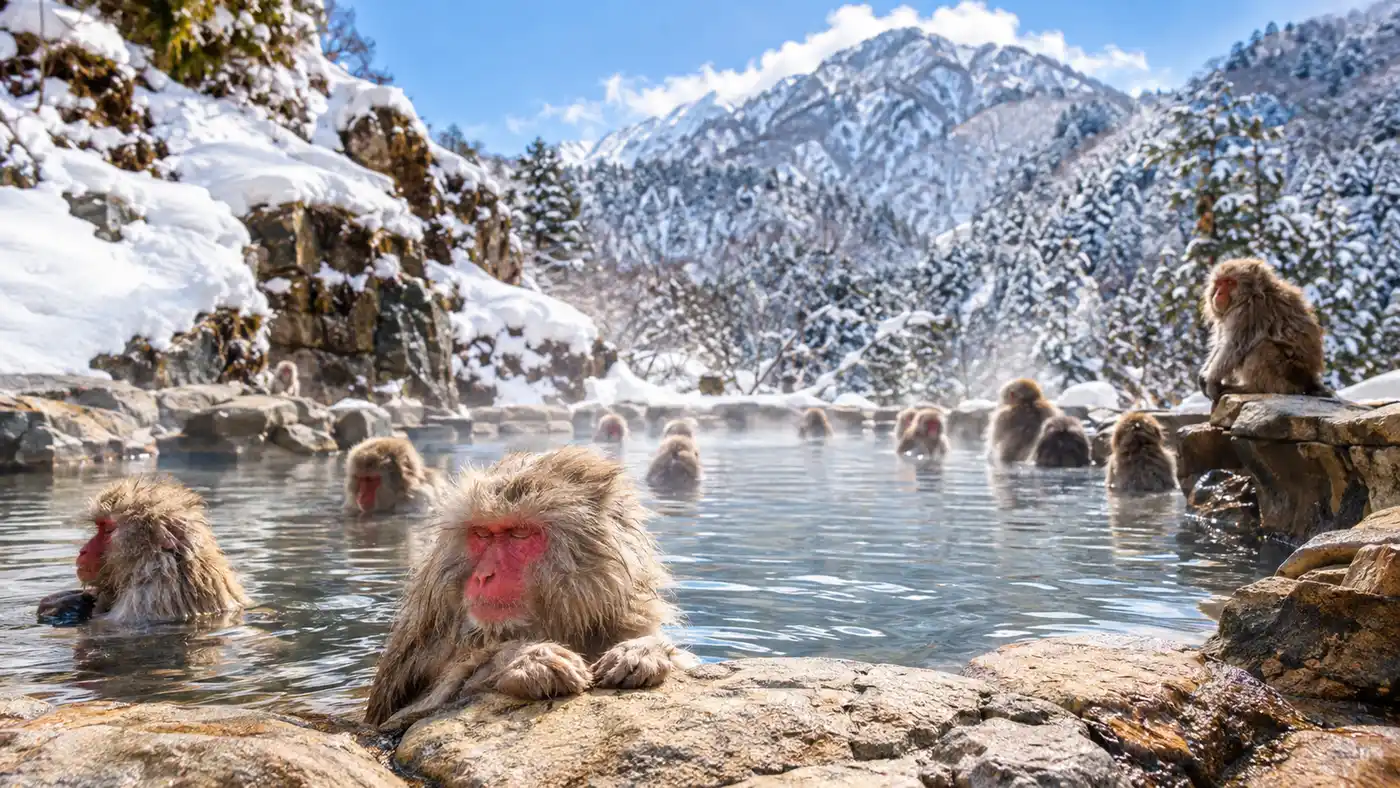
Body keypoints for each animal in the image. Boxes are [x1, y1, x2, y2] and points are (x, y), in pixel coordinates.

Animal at [1198, 258, 1331, 405]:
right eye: (1220, 283)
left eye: (1230, 283)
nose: (1219, 293)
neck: (1252, 294)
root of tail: (1311, 380)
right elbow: (1221, 342)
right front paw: (1204, 375)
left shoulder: (1249, 311)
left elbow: (1234, 345)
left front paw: (1211, 380)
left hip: (1290, 372)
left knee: (1262, 347)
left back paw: (1252, 388)